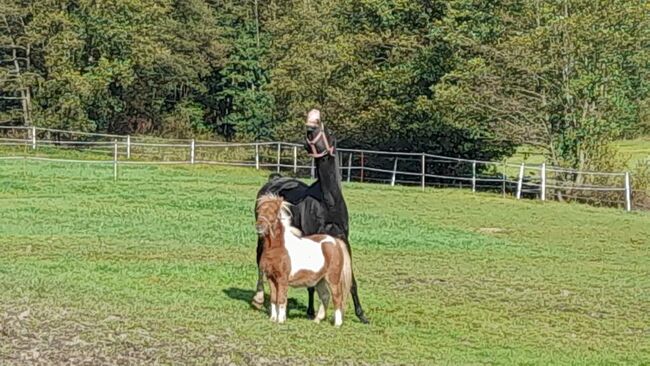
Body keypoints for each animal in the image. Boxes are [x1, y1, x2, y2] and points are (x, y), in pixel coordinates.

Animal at [256, 194, 352, 326]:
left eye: (273, 212)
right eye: (259, 210)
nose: (259, 226)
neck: (278, 248)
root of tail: (336, 242)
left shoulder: (282, 279)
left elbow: (281, 299)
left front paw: (281, 320)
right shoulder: (271, 278)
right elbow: (273, 298)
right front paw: (273, 319)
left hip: (333, 278)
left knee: (337, 297)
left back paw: (337, 324)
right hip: (320, 280)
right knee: (325, 296)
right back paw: (317, 320)